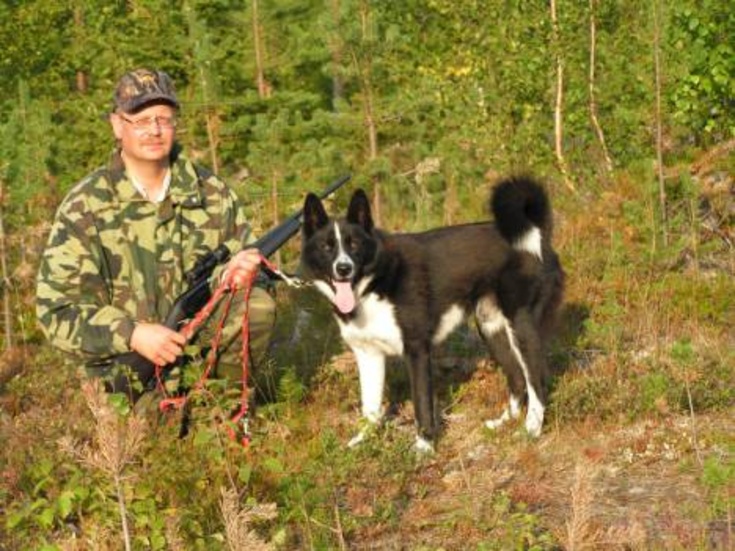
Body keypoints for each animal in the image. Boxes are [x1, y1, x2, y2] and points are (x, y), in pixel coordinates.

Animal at [300, 177, 564, 452]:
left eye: (354, 245)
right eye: (327, 247)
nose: (343, 268)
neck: (373, 283)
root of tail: (539, 234)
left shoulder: (417, 350)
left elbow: (422, 404)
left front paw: (424, 446)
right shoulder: (368, 355)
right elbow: (370, 408)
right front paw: (364, 441)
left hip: (521, 327)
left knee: (537, 381)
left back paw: (531, 430)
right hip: (492, 329)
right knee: (518, 380)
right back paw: (504, 422)